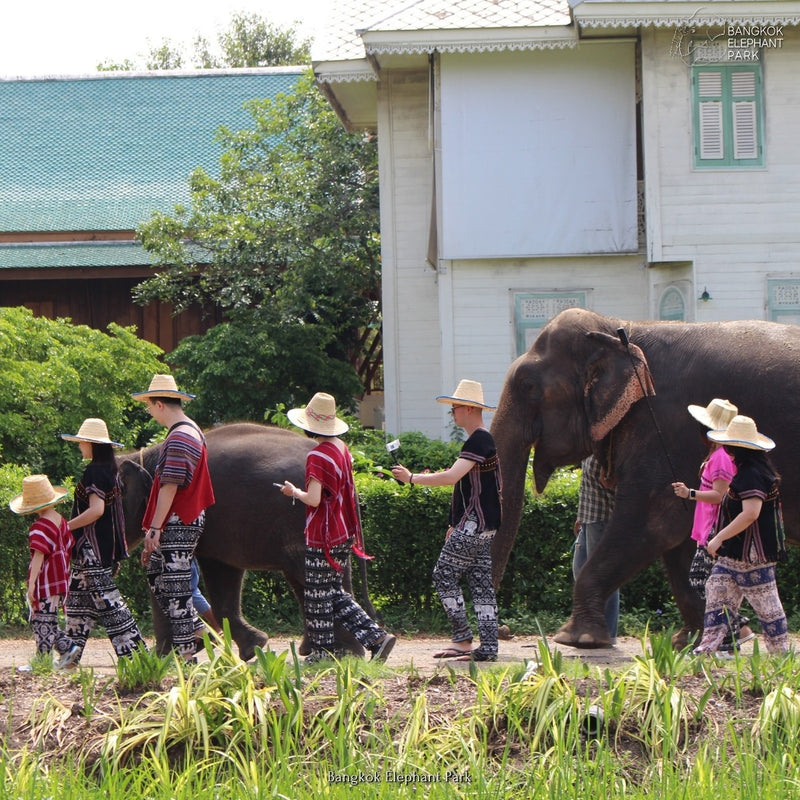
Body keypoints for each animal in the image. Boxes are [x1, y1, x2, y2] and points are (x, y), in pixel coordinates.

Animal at [117, 422, 377, 661]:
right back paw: (321, 651)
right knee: (306, 580)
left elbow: (161, 571)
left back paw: (343, 654)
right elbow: (222, 574)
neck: (144, 456)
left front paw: (163, 658)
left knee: (312, 578)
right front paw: (253, 648)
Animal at [490, 308, 800, 648]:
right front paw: (690, 641)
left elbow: (655, 523)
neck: (620, 327)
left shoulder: (665, 424)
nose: (504, 630)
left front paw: (575, 639)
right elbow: (679, 535)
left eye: (528, 385)